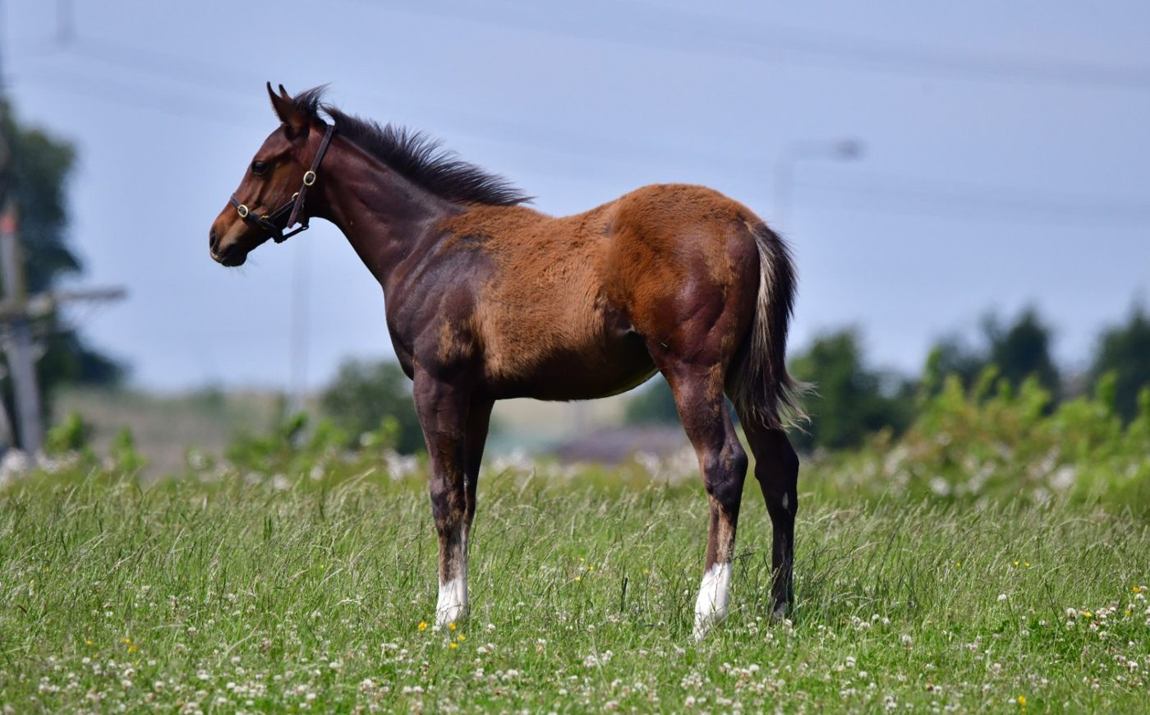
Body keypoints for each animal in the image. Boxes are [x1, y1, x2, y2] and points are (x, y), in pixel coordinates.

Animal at [209, 84, 804, 640]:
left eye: (261, 163)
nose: (219, 238)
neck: (425, 246)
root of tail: (748, 225)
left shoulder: (436, 384)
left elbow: (443, 494)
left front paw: (445, 617)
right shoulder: (479, 397)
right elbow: (468, 497)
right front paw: (462, 611)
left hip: (693, 371)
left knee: (725, 466)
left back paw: (708, 617)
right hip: (742, 379)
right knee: (779, 471)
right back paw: (780, 612)